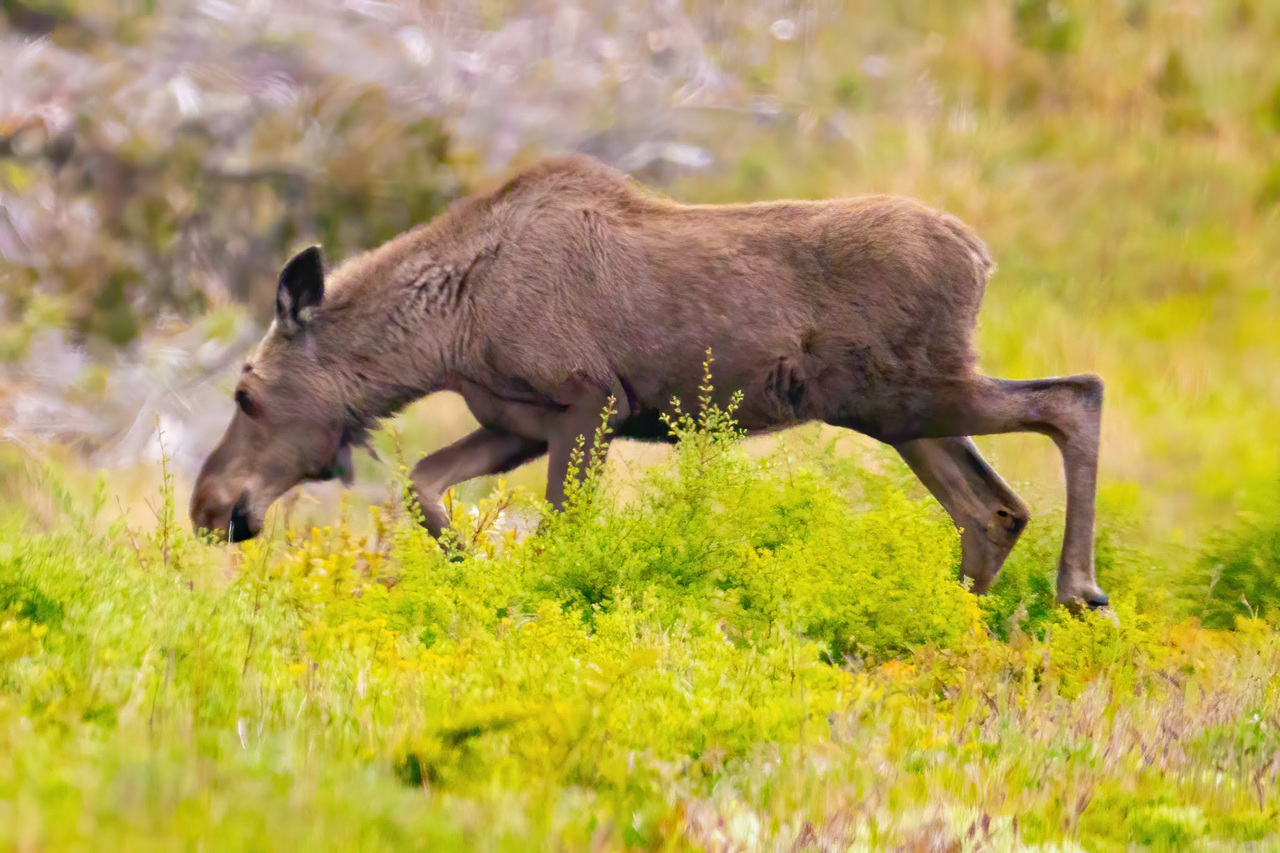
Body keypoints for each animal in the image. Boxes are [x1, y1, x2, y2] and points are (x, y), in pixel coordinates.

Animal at [190, 155, 1108, 608]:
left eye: (246, 393)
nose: (207, 506)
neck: (448, 330)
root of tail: (982, 257)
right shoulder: (517, 420)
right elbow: (423, 482)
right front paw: (463, 563)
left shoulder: (588, 398)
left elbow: (560, 529)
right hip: (900, 413)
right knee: (993, 508)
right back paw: (944, 629)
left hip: (905, 392)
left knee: (1074, 396)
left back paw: (1077, 589)